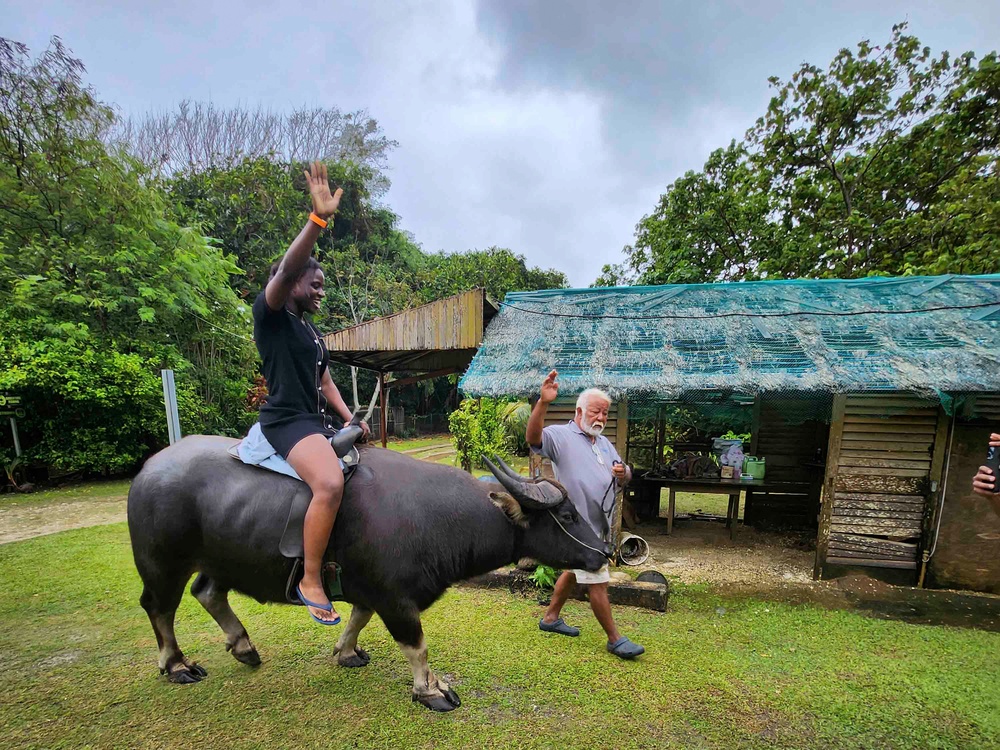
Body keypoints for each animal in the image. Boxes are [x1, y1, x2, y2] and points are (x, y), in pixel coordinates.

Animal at [125, 434, 608, 712]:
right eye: (567, 514)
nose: (603, 553)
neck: (437, 518)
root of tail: (148, 469)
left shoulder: (370, 590)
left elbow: (358, 617)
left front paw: (346, 652)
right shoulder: (396, 599)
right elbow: (417, 645)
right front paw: (431, 690)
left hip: (221, 560)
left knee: (208, 592)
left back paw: (244, 647)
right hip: (162, 563)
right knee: (159, 607)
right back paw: (177, 665)